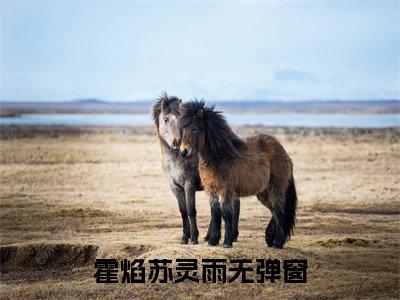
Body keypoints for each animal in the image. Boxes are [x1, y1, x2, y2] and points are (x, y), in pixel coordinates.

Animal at [150, 92, 239, 246]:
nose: (177, 142)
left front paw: (193, 238)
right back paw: (210, 237)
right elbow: (183, 211)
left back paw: (231, 236)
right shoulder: (175, 187)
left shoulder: (189, 185)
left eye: (180, 120)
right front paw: (184, 238)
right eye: (166, 119)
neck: (176, 159)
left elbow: (191, 210)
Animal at [178, 99, 296, 247]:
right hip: (263, 193)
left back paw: (277, 243)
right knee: (274, 211)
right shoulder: (211, 190)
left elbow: (226, 213)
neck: (220, 156)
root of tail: (284, 152)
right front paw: (213, 241)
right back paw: (269, 238)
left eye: (195, 128)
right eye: (182, 129)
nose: (183, 152)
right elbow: (215, 213)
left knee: (279, 211)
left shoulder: (226, 189)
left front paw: (227, 242)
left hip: (276, 188)